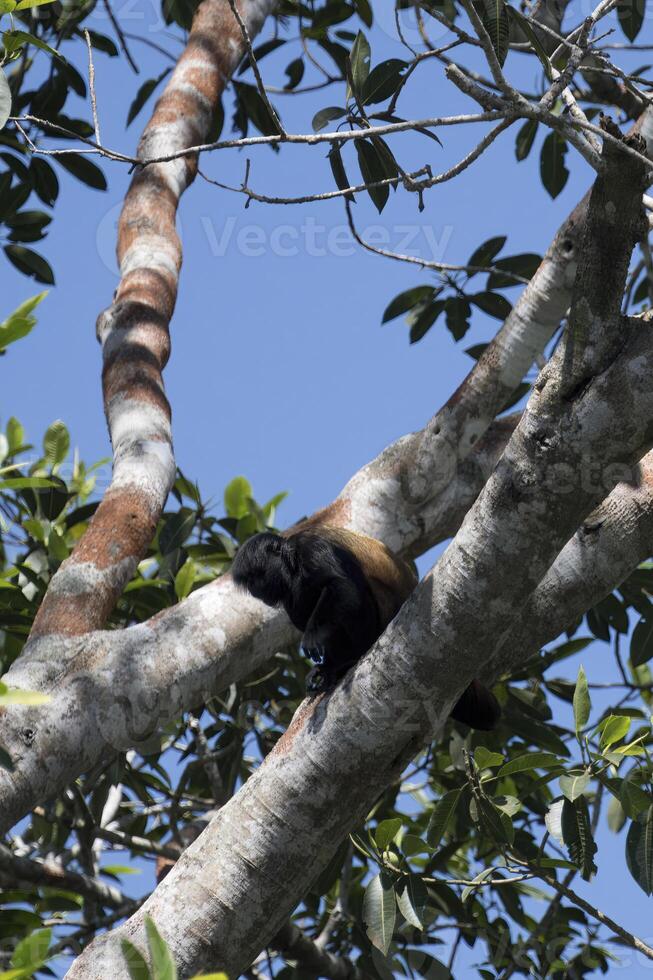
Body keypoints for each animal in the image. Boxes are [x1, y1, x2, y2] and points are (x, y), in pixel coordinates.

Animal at [232, 528, 502, 728]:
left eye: (256, 576)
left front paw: (313, 638)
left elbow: (343, 586)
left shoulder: (311, 547)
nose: (255, 589)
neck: (291, 559)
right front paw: (326, 667)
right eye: (249, 581)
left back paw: (350, 659)